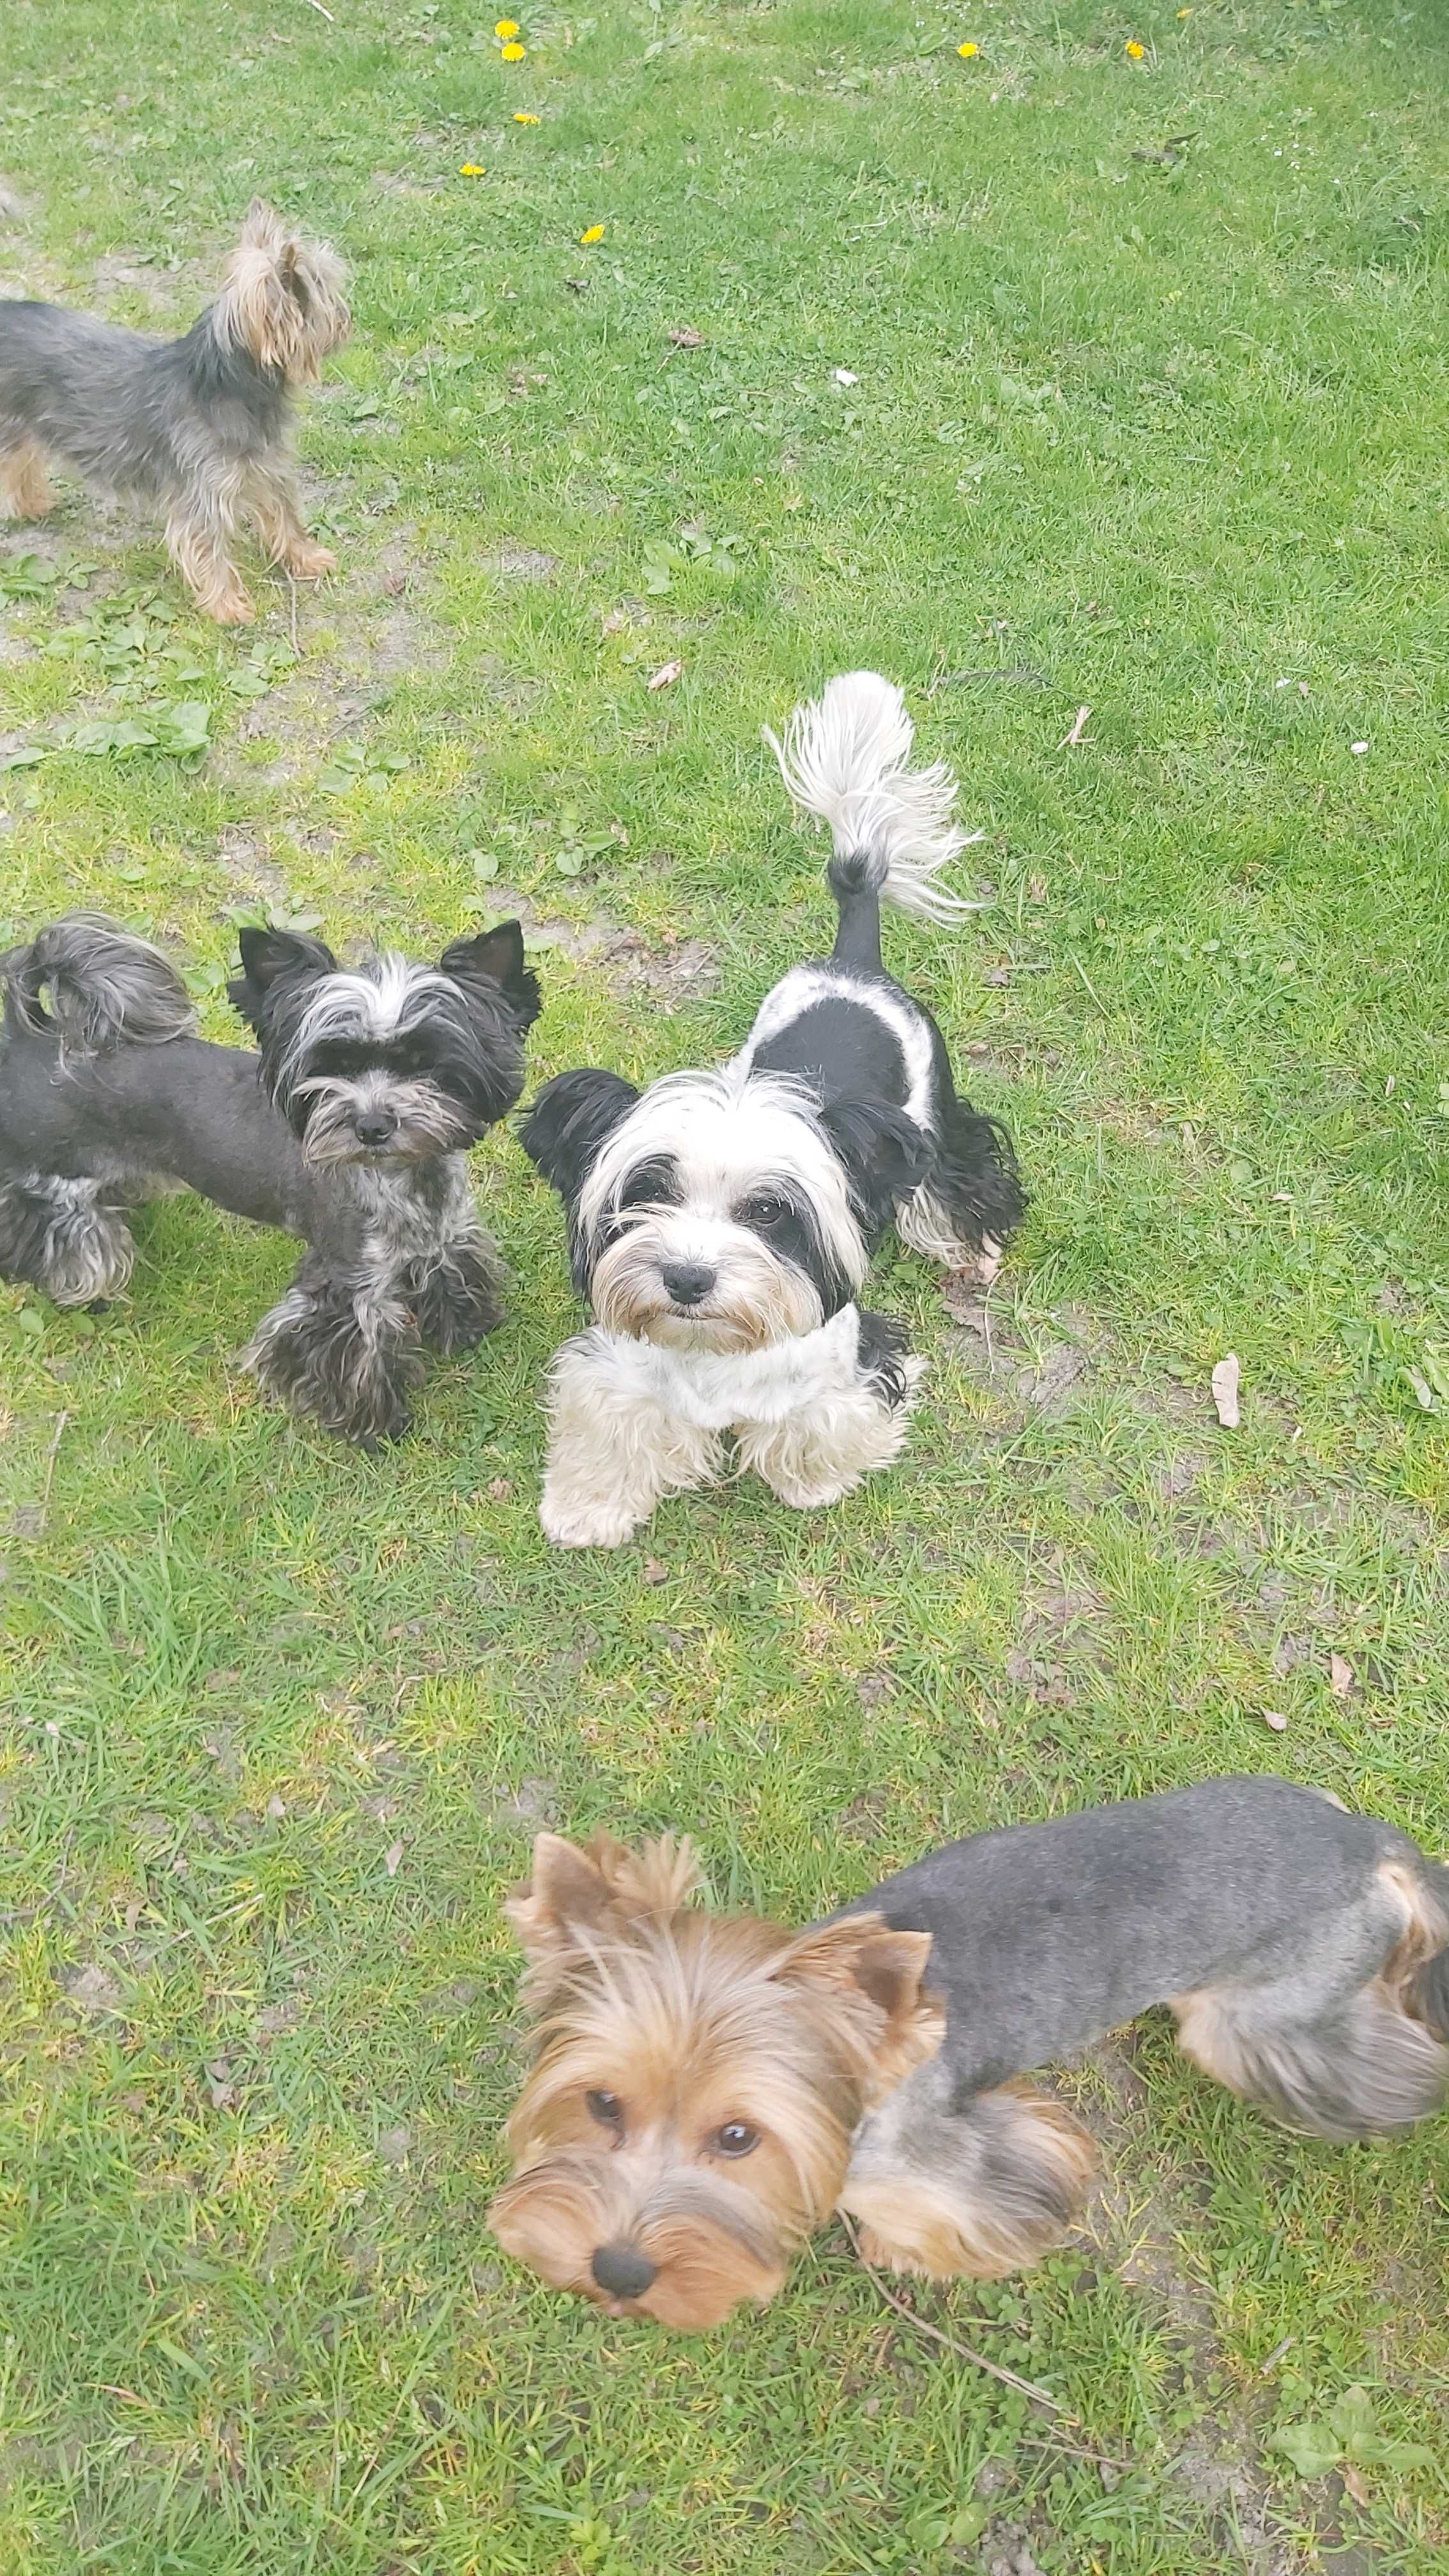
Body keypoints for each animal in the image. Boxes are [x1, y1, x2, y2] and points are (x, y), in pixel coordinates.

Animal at [0, 912, 536, 1442]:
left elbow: (454, 1276)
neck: (407, 1179)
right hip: (57, 1188)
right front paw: (374, 1425)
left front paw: (467, 1326)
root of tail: (32, 1038)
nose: (371, 1125)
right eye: (333, 1068)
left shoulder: (444, 1236)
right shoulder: (346, 1284)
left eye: (427, 1063)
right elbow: (349, 1351)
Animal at [1, 206, 348, 618]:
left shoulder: (269, 468)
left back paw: (32, 505)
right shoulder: (204, 493)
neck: (225, 383)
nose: (346, 317)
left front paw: (307, 559)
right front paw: (228, 606)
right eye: (326, 291)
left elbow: (286, 518)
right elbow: (209, 549)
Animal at [518, 670, 1016, 1545]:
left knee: (955, 1180)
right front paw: (586, 1509)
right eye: (647, 1193)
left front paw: (814, 1483)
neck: (714, 1349)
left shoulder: (849, 1361)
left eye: (768, 1212)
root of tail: (854, 962)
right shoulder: (616, 1372)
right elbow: (608, 1436)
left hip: (937, 1117)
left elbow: (818, 1428)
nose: (687, 1277)